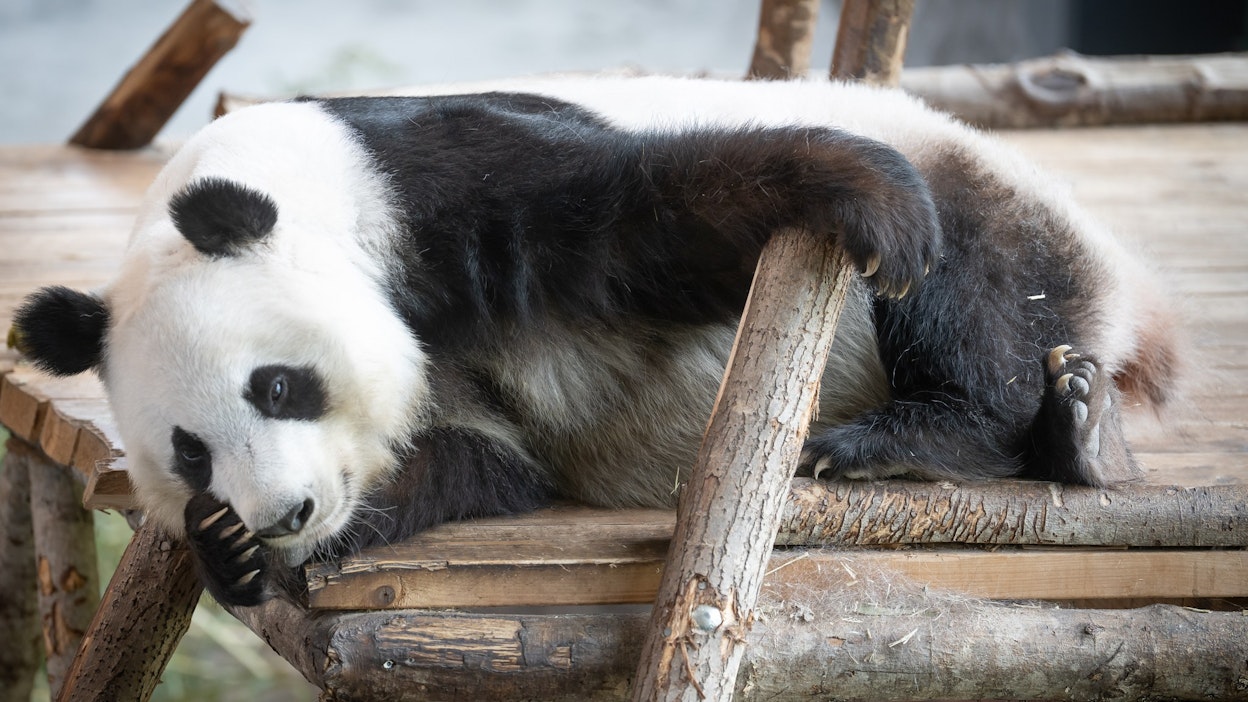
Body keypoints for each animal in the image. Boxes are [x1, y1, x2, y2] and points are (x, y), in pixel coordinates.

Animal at [13, 76, 1179, 607]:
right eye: (189, 453)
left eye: (277, 386)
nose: (289, 513)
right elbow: (483, 457)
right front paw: (238, 549)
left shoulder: (438, 182)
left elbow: (655, 220)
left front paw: (861, 197)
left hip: (997, 201)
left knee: (979, 297)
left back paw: (957, 435)